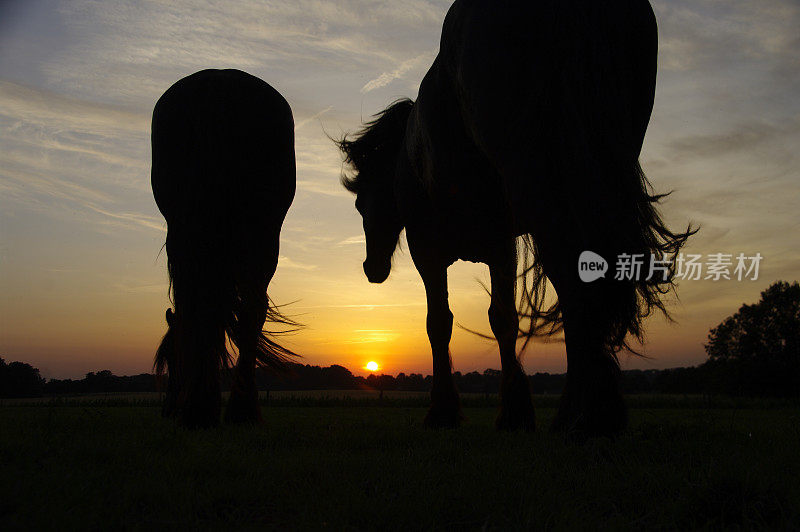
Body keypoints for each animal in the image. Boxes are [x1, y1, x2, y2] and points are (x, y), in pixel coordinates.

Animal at [151, 69, 296, 428]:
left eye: (171, 359)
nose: (167, 409)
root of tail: (220, 80)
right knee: (249, 311)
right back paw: (235, 410)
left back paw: (213, 410)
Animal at [338, 0, 692, 436]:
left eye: (361, 204)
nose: (372, 268)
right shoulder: (498, 245)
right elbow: (499, 319)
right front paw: (514, 410)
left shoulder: (436, 249)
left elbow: (445, 323)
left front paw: (450, 410)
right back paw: (587, 411)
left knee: (570, 273)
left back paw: (586, 414)